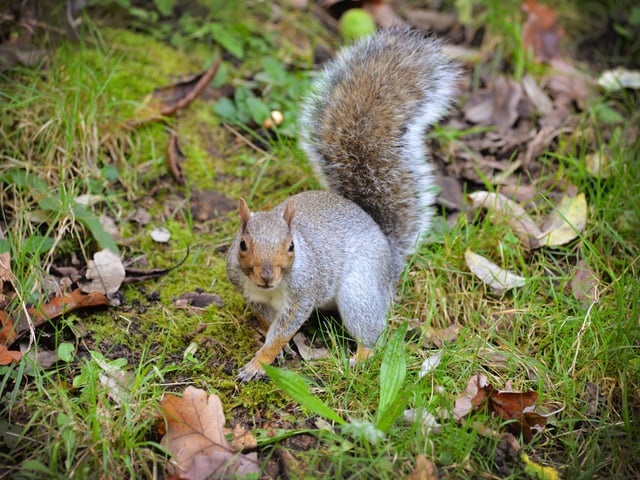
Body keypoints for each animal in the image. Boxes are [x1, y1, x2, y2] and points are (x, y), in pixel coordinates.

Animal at [226, 27, 460, 381]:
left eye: (291, 246)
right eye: (242, 244)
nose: (266, 276)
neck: (269, 290)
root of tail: (388, 255)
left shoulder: (303, 294)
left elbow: (285, 328)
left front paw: (260, 361)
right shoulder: (251, 294)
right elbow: (271, 324)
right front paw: (276, 350)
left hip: (358, 291)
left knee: (371, 332)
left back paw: (360, 358)